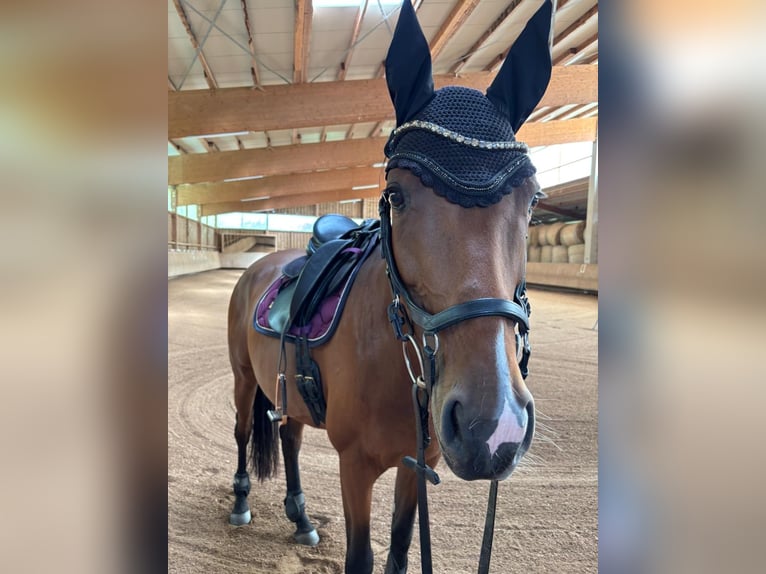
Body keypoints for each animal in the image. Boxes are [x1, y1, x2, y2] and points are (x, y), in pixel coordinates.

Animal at [225, 2, 554, 573]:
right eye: (396, 195)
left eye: (532, 200)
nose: (493, 427)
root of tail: (260, 265)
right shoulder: (354, 467)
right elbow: (361, 557)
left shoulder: (415, 463)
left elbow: (399, 552)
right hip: (244, 378)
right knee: (246, 432)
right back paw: (242, 501)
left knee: (289, 437)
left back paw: (302, 518)